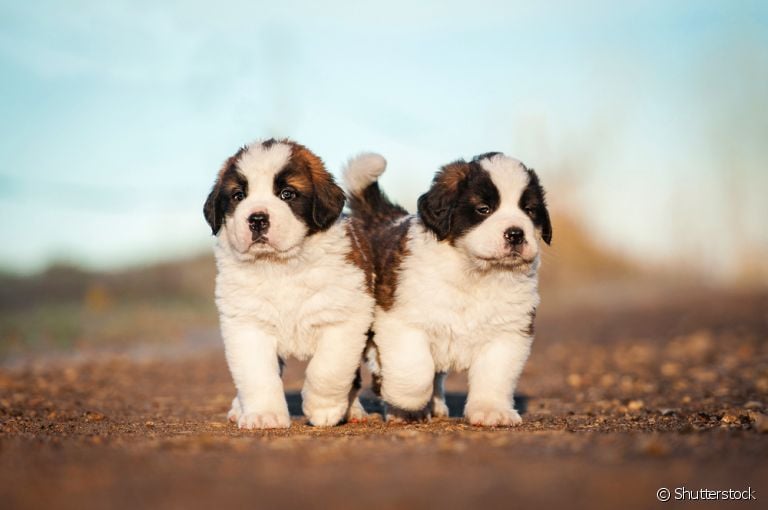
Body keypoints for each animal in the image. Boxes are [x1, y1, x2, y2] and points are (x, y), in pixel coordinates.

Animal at [202, 137, 374, 428]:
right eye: (238, 196)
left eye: (287, 194)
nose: (257, 219)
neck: (280, 268)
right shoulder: (247, 324)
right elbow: (256, 374)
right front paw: (263, 415)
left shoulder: (344, 318)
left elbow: (329, 368)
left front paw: (323, 408)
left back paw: (353, 411)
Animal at [344, 151, 552, 426]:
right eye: (483, 209)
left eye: (529, 210)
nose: (516, 234)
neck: (475, 275)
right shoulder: (401, 321)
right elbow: (414, 369)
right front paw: (403, 400)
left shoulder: (509, 331)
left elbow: (495, 375)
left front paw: (491, 410)